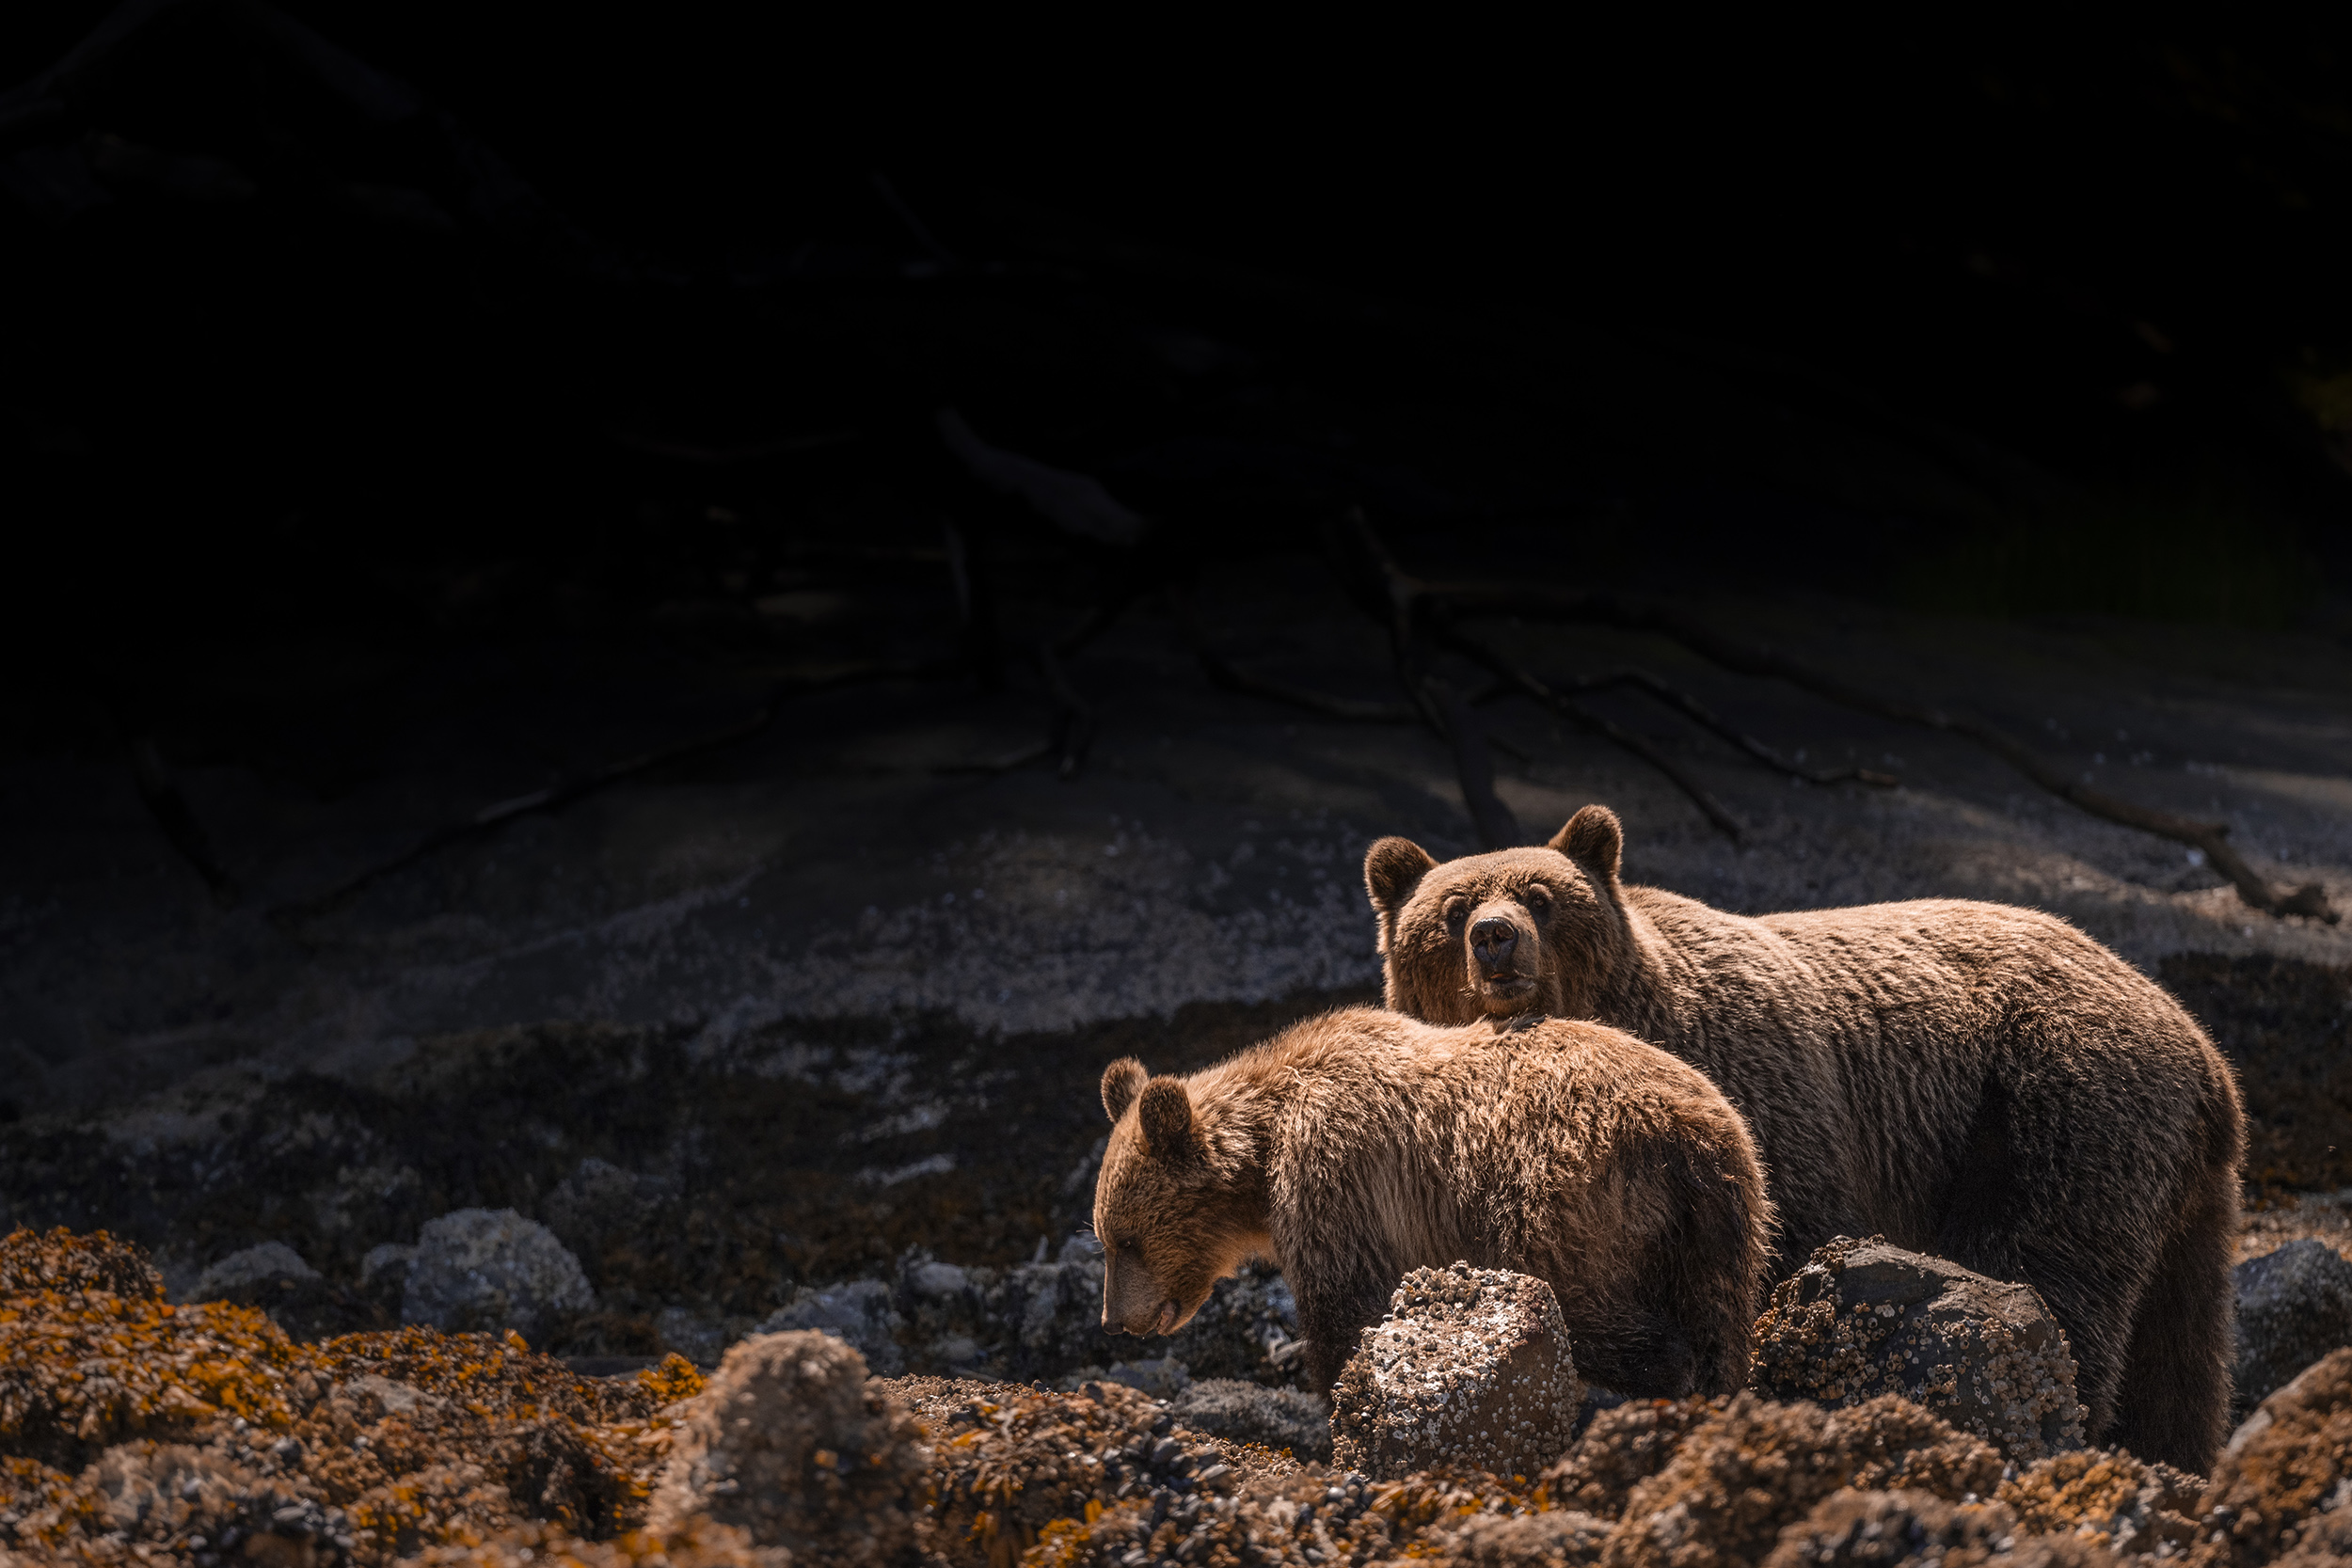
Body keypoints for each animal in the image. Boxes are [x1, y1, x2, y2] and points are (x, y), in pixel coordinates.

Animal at [1090, 1005, 1774, 1399]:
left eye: (1126, 1239)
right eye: (1103, 1239)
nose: (1113, 1321)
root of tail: (1690, 1132)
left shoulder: (1334, 1175)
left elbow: (1345, 1307)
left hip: (1566, 1203)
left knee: (1589, 1308)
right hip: (1723, 1219)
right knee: (1720, 1320)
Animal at [1362, 803, 2246, 1474]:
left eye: (1541, 895)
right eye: (1451, 909)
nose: (1495, 938)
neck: (1635, 1017)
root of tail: (2206, 1052)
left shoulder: (1771, 1100)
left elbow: (1788, 1237)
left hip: (2055, 1106)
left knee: (2053, 1267)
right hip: (2179, 1188)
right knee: (2181, 1346)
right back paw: (2173, 1455)